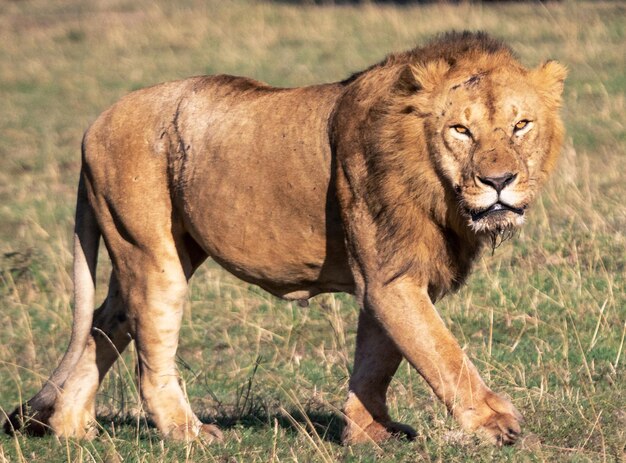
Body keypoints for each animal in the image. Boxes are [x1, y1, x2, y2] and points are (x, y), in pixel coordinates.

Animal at [3, 31, 564, 446]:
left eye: (521, 125)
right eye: (460, 131)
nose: (498, 182)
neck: (437, 186)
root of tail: (95, 122)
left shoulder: (385, 273)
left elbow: (379, 355)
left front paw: (369, 432)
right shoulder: (389, 275)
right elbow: (440, 352)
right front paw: (495, 425)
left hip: (151, 251)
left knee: (103, 323)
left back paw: (71, 428)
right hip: (150, 254)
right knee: (149, 352)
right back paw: (187, 433)